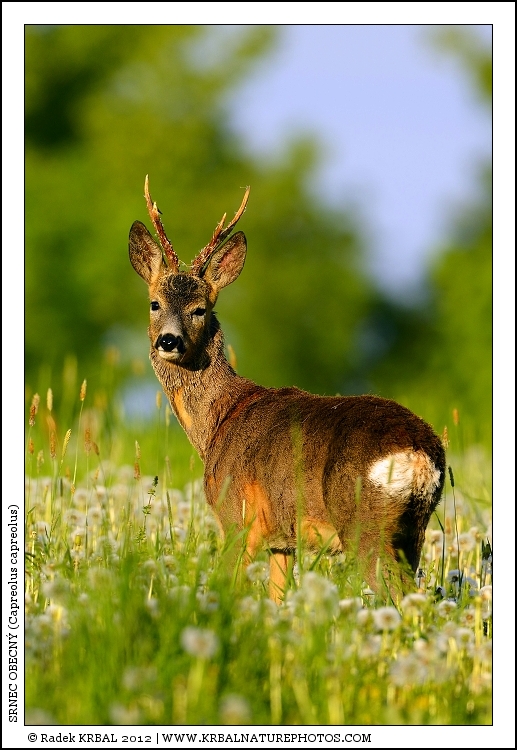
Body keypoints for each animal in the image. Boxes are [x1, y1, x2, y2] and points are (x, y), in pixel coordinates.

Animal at [129, 177, 445, 602]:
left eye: (200, 309)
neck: (217, 421)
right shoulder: (282, 539)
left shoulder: (236, 516)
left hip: (365, 524)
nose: (169, 341)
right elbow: (278, 599)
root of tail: (419, 453)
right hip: (415, 529)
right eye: (155, 303)